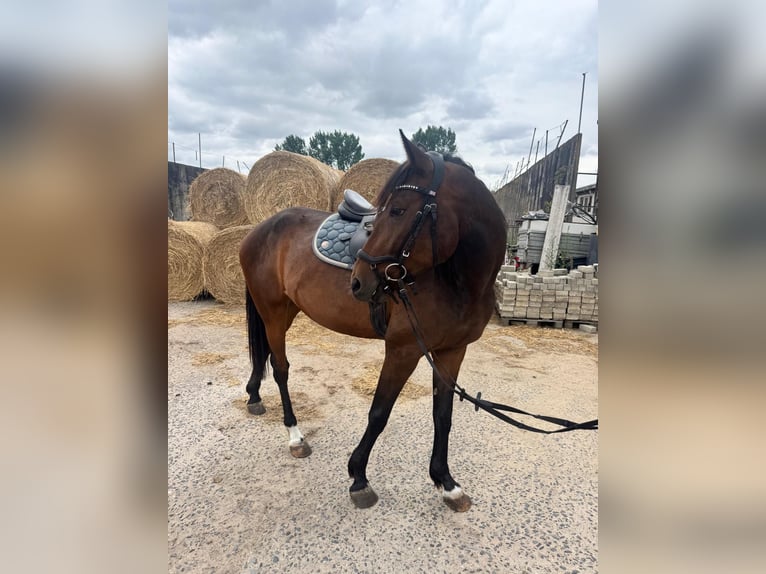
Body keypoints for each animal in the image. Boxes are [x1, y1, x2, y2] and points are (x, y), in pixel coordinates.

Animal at [239, 131, 507, 511]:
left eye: (398, 210)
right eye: (388, 210)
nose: (358, 281)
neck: (457, 281)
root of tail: (258, 229)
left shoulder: (453, 351)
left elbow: (443, 415)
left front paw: (446, 482)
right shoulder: (402, 349)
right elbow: (379, 412)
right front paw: (359, 477)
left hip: (284, 310)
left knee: (263, 354)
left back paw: (253, 397)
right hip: (273, 311)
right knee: (281, 368)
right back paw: (295, 436)